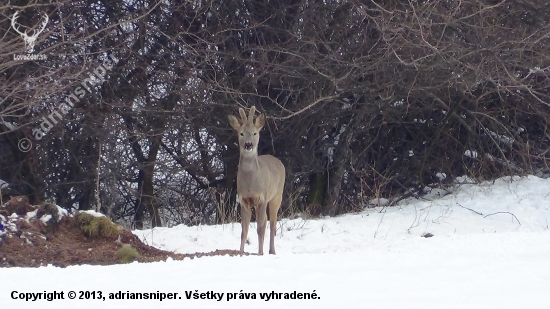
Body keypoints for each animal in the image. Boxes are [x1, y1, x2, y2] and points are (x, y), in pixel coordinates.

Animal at [230, 104, 286, 254]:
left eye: (255, 133)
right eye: (241, 133)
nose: (248, 145)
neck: (250, 184)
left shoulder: (262, 198)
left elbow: (260, 229)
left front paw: (260, 253)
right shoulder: (243, 200)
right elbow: (244, 230)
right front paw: (241, 253)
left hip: (277, 196)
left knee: (272, 224)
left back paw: (272, 251)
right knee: (267, 221)